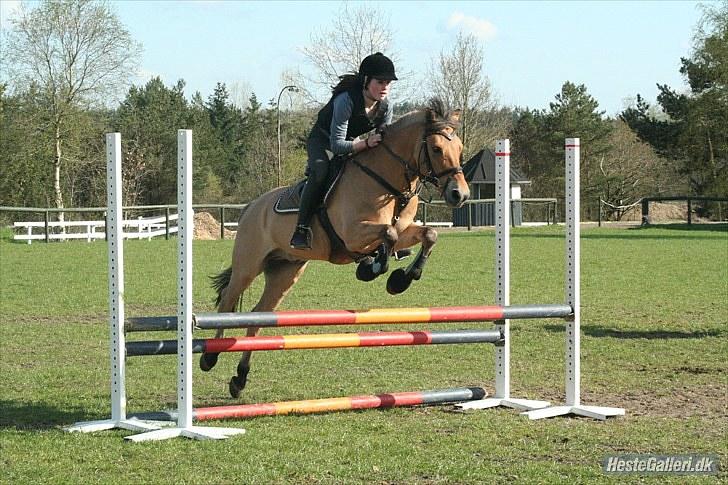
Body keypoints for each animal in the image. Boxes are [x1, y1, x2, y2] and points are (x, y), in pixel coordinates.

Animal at [202, 97, 470, 398]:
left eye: (460, 149)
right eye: (436, 148)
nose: (460, 195)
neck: (386, 180)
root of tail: (251, 207)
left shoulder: (403, 231)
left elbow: (428, 235)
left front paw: (400, 279)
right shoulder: (353, 234)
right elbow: (387, 235)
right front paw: (373, 269)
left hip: (285, 271)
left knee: (258, 315)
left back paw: (240, 379)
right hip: (248, 266)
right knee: (227, 302)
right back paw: (209, 357)